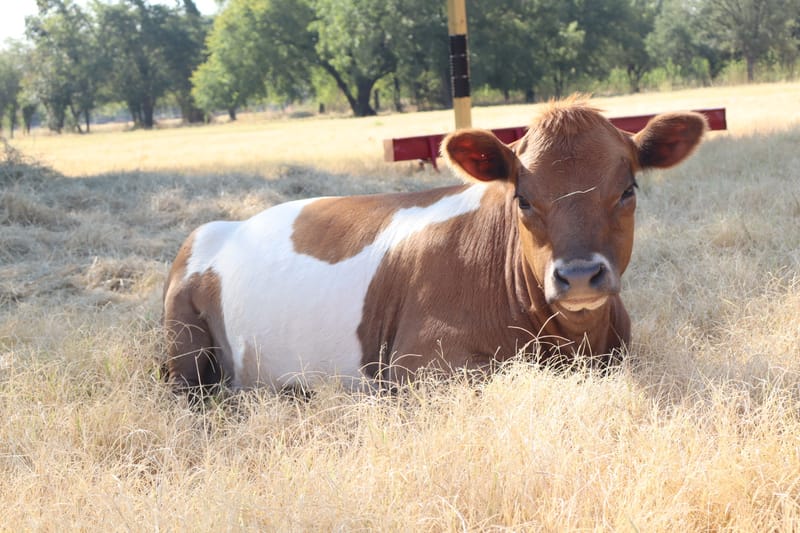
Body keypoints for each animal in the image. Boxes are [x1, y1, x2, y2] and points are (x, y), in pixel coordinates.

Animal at [162, 97, 708, 392]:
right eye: (523, 198)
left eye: (628, 190)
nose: (578, 277)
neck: (568, 341)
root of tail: (228, 225)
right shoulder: (419, 364)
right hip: (183, 344)